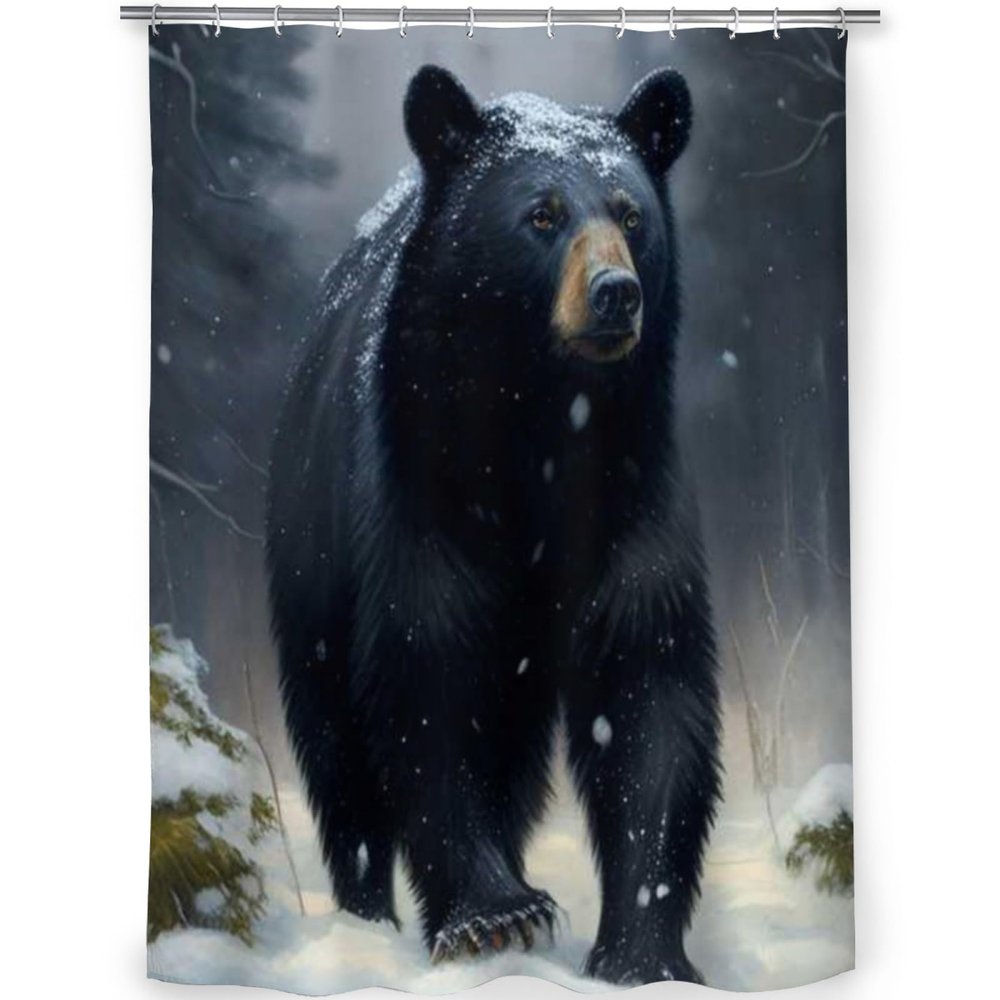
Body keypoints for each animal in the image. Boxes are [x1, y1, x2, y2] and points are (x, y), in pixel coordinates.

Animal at [266, 65, 722, 986]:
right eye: (541, 214)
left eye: (629, 214)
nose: (616, 294)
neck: (540, 419)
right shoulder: (419, 480)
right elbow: (427, 670)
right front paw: (494, 917)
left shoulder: (634, 483)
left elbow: (651, 682)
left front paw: (644, 951)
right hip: (310, 549)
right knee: (338, 753)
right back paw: (366, 915)